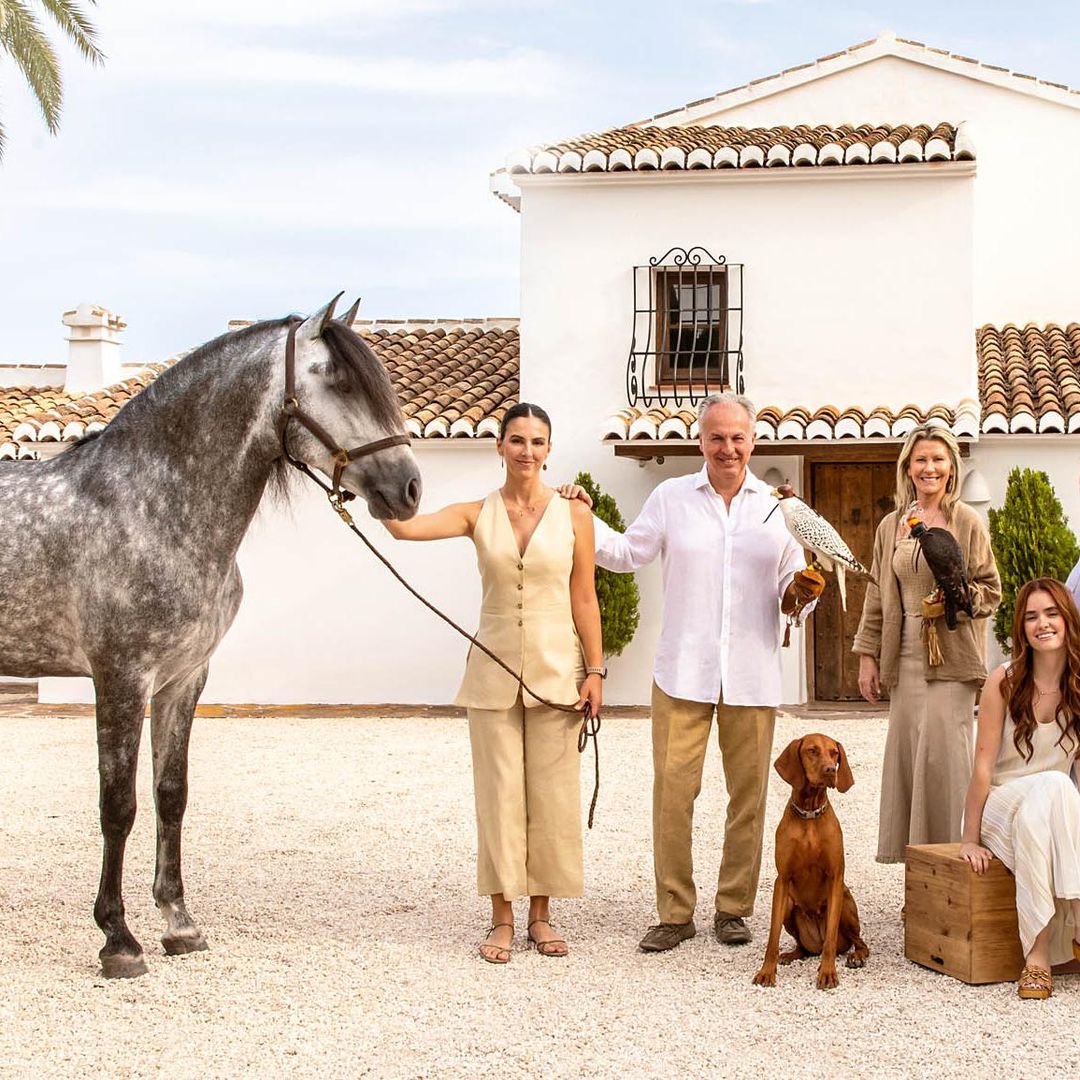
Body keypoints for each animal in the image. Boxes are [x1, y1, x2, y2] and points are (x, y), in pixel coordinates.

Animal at [0, 295, 419, 980]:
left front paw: (178, 924)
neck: (150, 505)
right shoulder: (121, 678)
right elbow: (118, 805)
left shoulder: (183, 679)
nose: (409, 489)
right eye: (335, 378)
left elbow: (171, 795)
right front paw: (118, 940)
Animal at [751, 730, 868, 989]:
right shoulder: (782, 880)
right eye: (812, 750)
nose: (830, 770)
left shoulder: (835, 878)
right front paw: (767, 971)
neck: (810, 815)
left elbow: (831, 940)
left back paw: (856, 956)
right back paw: (790, 954)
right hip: (790, 906)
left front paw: (827, 973)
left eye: (835, 754)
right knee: (802, 947)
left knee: (858, 942)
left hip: (846, 903)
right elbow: (772, 937)